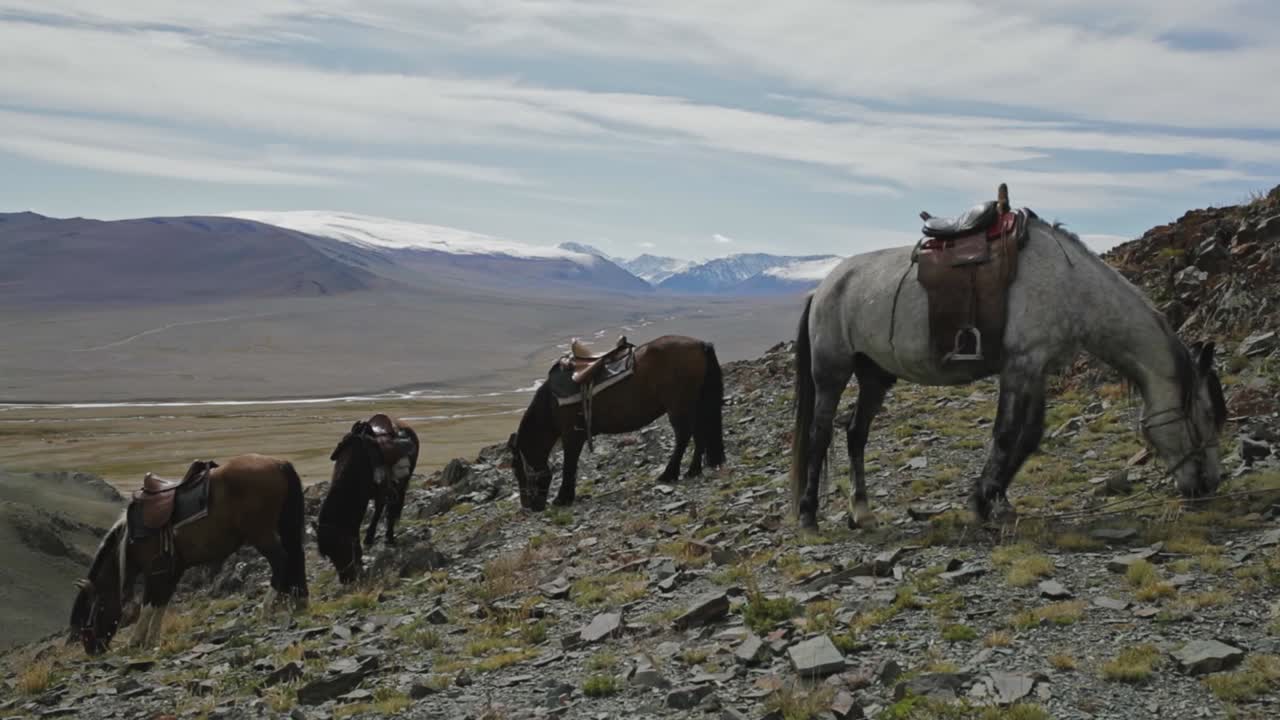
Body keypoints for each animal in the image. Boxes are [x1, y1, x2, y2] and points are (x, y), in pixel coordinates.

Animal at [69, 455, 309, 655]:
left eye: (93, 610)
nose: (92, 649)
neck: (130, 540)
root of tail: (278, 463)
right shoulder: (172, 570)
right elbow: (161, 603)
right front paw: (153, 639)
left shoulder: (154, 570)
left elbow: (149, 603)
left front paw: (136, 640)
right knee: (295, 557)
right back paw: (297, 600)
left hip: (261, 534)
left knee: (281, 560)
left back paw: (267, 608)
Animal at [316, 414, 419, 584]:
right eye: (329, 554)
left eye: (341, 546)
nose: (346, 579)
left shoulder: (362, 502)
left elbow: (357, 525)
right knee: (381, 508)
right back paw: (371, 538)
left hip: (401, 483)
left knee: (390, 510)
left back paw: (387, 538)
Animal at [510, 334, 726, 511]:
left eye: (516, 469)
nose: (529, 507)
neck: (551, 402)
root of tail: (700, 344)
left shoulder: (572, 434)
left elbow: (569, 465)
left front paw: (562, 498)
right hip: (694, 404)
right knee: (698, 434)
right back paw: (693, 470)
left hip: (679, 406)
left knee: (683, 436)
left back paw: (668, 474)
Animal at [790, 214, 1227, 531]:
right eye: (1204, 417)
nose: (1210, 485)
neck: (1071, 286)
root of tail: (823, 287)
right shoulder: (1020, 365)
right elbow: (1004, 434)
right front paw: (982, 501)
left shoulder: (1038, 368)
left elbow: (1029, 436)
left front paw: (997, 499)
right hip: (832, 371)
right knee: (820, 434)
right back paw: (809, 514)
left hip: (875, 376)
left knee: (855, 434)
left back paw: (861, 512)